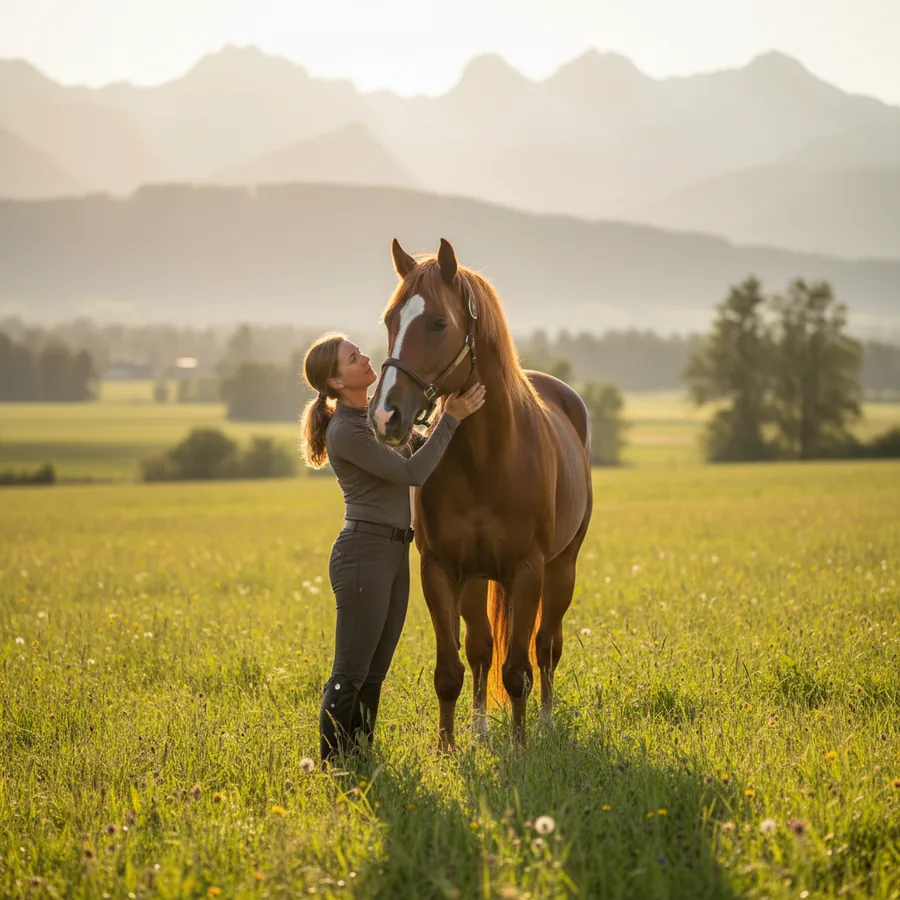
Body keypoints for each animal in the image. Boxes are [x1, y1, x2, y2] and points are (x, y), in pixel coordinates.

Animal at [369, 237, 593, 749]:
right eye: (390, 320)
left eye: (438, 323)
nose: (386, 415)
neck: (486, 459)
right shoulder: (439, 569)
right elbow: (452, 668)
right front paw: (449, 747)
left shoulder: (527, 570)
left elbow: (517, 671)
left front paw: (523, 747)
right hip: (473, 578)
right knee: (481, 648)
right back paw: (479, 729)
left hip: (561, 567)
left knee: (546, 646)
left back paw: (545, 722)